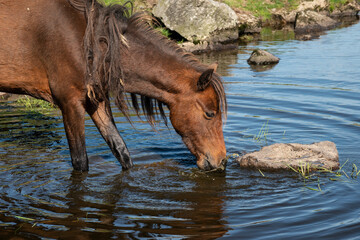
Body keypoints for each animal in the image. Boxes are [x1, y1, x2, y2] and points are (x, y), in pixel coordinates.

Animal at [0, 0, 226, 172]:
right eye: (210, 114)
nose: (221, 160)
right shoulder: (70, 104)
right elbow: (80, 161)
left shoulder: (96, 101)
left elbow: (121, 150)